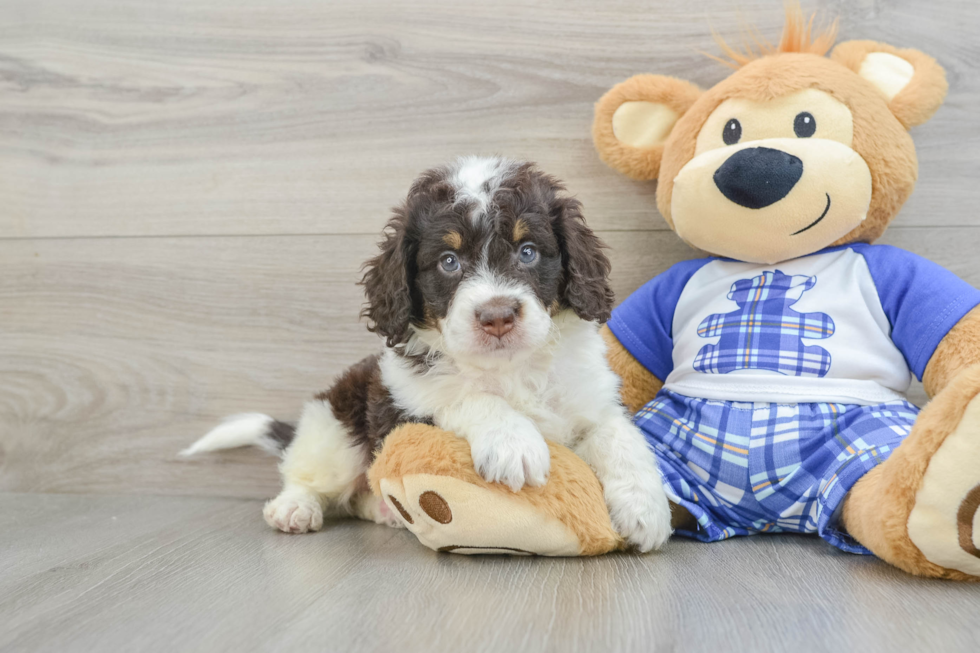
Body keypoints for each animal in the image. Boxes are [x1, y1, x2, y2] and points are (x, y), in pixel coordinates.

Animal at [182, 157, 672, 552]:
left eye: (528, 251)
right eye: (448, 262)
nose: (497, 316)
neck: (510, 367)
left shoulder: (591, 397)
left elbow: (619, 435)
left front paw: (645, 507)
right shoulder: (406, 400)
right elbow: (463, 396)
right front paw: (513, 441)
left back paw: (385, 511)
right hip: (337, 425)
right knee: (309, 474)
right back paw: (295, 508)